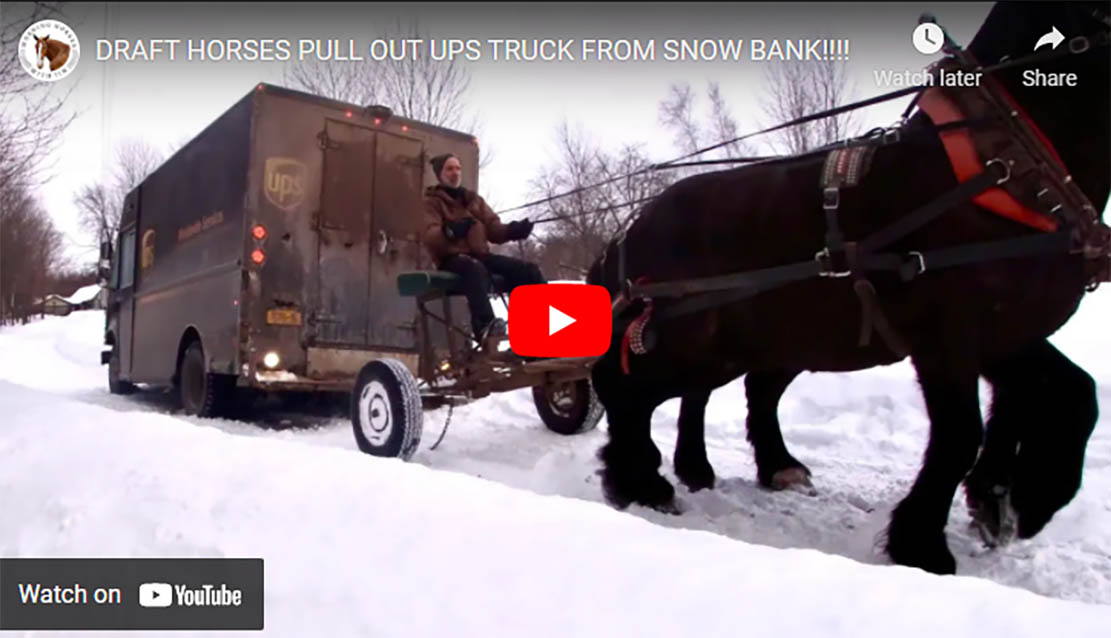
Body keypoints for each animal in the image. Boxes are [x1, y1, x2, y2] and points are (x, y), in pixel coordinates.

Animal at [586, 0, 1106, 577]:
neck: (1002, 167)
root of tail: (627, 231)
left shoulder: (1005, 332)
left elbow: (1073, 393)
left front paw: (1013, 500)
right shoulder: (948, 339)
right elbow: (959, 435)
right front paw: (924, 544)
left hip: (753, 342)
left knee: (719, 394)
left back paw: (735, 467)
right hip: (682, 339)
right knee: (624, 388)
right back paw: (639, 481)